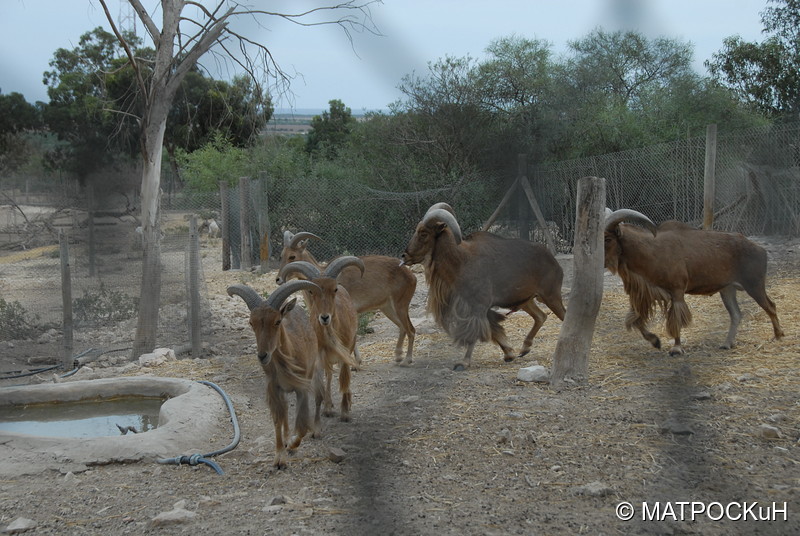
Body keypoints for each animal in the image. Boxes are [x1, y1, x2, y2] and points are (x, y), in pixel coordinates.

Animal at [227, 282, 324, 466]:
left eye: (277, 321)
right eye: (251, 322)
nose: (262, 355)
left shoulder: (301, 387)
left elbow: (301, 425)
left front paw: (293, 444)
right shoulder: (274, 387)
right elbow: (278, 419)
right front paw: (280, 457)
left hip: (315, 372)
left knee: (319, 397)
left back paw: (316, 431)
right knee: (285, 409)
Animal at [276, 230, 416, 364]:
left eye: (292, 256)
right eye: (281, 255)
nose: (278, 279)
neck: (322, 271)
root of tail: (411, 275)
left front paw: (356, 361)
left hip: (400, 305)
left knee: (411, 329)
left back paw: (407, 360)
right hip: (387, 308)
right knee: (402, 327)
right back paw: (398, 356)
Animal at [398, 203, 564, 370]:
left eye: (423, 233)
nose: (405, 255)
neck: (461, 261)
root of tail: (553, 260)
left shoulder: (478, 306)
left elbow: (475, 333)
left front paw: (464, 362)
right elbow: (494, 330)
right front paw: (509, 353)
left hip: (551, 296)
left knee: (562, 315)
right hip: (526, 300)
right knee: (540, 316)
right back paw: (525, 348)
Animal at [608, 209, 780, 356]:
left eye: (608, 238)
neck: (651, 249)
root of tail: (761, 249)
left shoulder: (676, 291)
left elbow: (676, 320)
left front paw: (676, 349)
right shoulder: (646, 295)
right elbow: (636, 320)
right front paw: (656, 341)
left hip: (754, 285)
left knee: (770, 306)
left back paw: (778, 335)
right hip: (727, 290)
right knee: (736, 314)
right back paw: (727, 344)